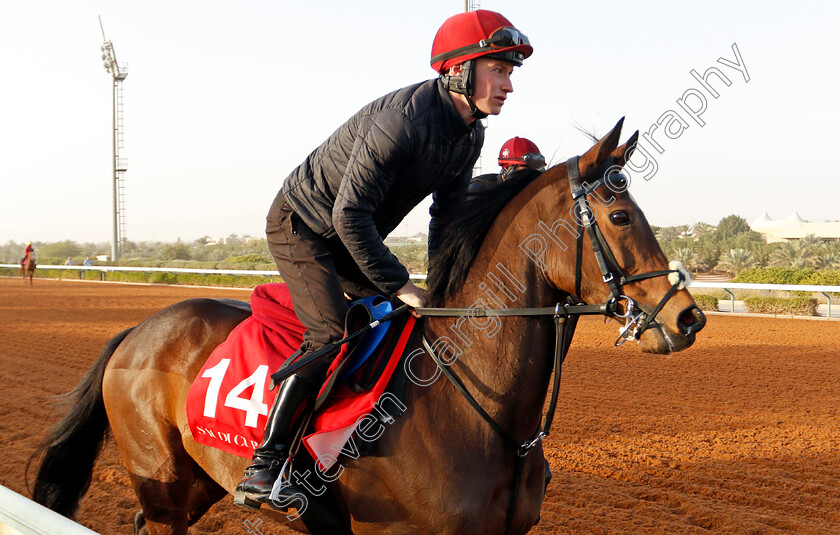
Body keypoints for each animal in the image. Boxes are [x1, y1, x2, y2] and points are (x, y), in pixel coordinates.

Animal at [32, 120, 704, 535]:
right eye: (620, 215)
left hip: (198, 481)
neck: (473, 411)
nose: (688, 315)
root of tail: (136, 330)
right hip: (162, 479)